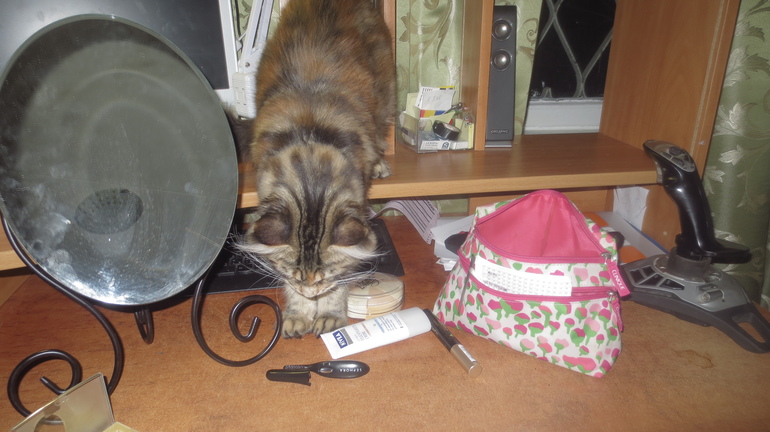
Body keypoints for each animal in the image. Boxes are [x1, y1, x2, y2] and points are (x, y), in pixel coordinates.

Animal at [239, 0, 395, 338]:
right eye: (295, 275)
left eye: (326, 275)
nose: (311, 292)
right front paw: (299, 312)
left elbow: (340, 287)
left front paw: (329, 314)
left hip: (385, 93)